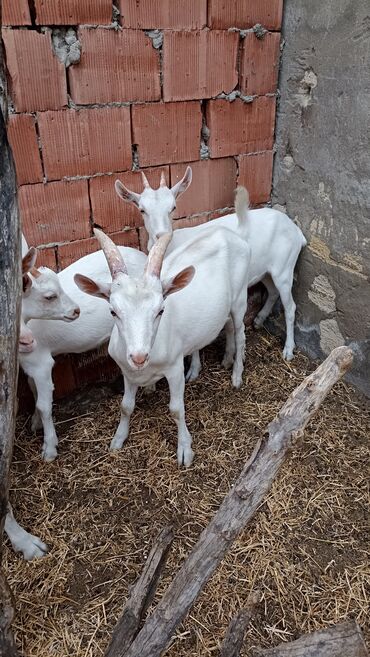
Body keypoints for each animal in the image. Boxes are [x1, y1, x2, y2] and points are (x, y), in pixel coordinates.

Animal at [19, 243, 145, 458]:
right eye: (50, 296)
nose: (75, 311)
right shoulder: (29, 363)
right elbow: (33, 390)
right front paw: (35, 423)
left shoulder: (41, 363)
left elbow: (44, 405)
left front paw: (49, 448)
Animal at [73, 218, 250, 464]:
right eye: (113, 311)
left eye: (160, 310)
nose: (139, 357)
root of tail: (230, 234)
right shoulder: (127, 370)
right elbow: (125, 406)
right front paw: (118, 440)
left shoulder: (174, 368)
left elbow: (176, 409)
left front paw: (185, 449)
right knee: (226, 327)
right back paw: (215, 362)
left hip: (240, 297)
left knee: (240, 331)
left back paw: (236, 375)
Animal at [115, 169, 306, 374]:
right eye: (142, 209)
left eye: (173, 207)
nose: (161, 235)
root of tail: (297, 231)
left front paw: (195, 368)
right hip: (268, 272)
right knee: (272, 292)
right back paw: (259, 320)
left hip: (284, 267)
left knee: (290, 306)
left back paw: (288, 350)